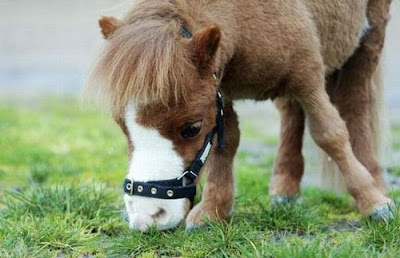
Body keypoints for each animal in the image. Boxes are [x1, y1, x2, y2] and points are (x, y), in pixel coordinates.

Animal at [86, 0, 394, 230]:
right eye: (123, 126)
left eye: (192, 128)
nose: (147, 216)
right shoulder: (221, 92)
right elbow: (226, 145)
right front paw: (213, 211)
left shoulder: (308, 79)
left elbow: (330, 134)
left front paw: (373, 202)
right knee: (291, 113)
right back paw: (285, 188)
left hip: (370, 37)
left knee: (355, 103)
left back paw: (376, 180)